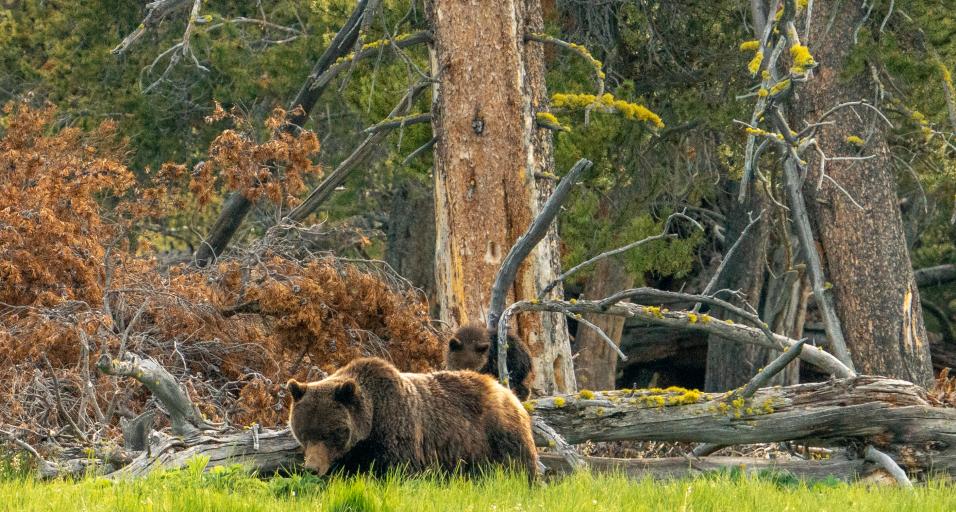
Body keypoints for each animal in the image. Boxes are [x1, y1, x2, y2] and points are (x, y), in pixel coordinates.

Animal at [286, 357, 537, 479]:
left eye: (330, 434)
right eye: (304, 433)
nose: (311, 468)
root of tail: (508, 392)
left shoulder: (398, 432)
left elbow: (401, 471)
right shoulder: (352, 454)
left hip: (498, 437)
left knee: (519, 467)